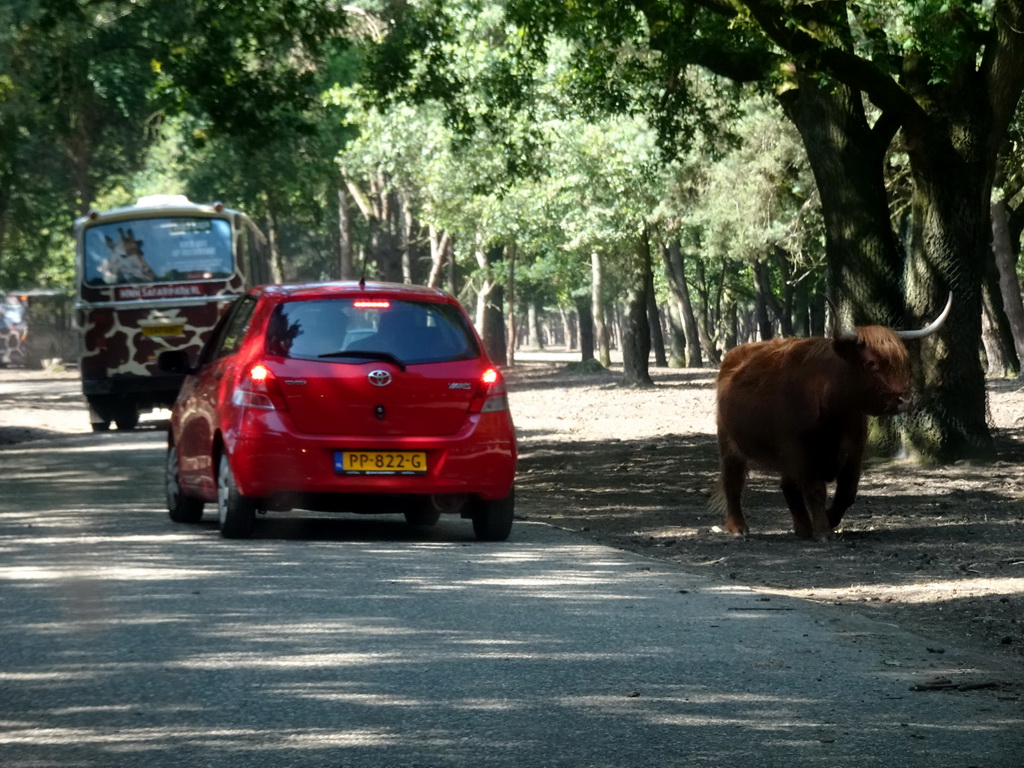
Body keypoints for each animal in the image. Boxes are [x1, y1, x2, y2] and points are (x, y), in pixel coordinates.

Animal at [712, 294, 950, 540]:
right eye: (871, 363)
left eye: (905, 362)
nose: (905, 399)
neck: (833, 411)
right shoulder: (801, 453)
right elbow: (816, 490)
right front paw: (824, 530)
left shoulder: (853, 452)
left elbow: (847, 492)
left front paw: (829, 519)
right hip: (729, 443)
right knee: (733, 481)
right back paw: (738, 527)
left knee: (787, 486)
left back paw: (803, 527)